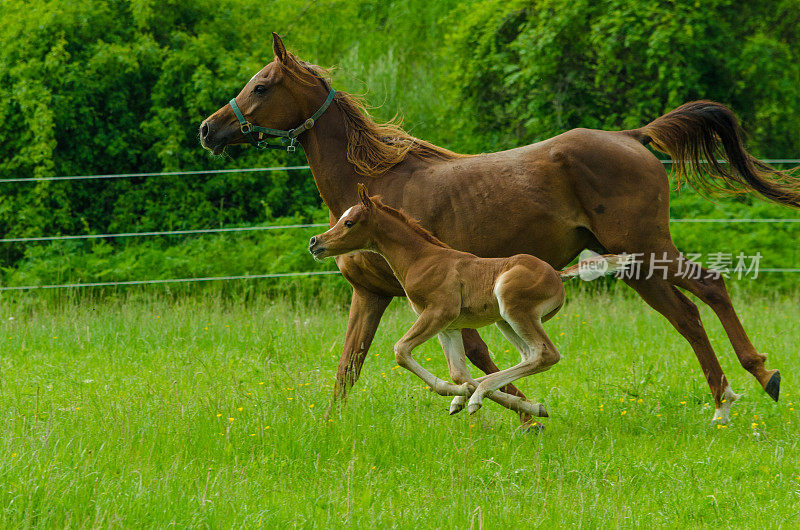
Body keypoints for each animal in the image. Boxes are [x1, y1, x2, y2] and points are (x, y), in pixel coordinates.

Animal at [310, 184, 628, 418]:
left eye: (349, 222)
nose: (315, 242)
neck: (421, 259)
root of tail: (557, 274)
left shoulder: (438, 312)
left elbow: (402, 351)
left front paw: (467, 398)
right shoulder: (448, 325)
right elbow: (459, 373)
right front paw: (468, 399)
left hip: (513, 306)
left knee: (545, 353)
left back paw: (479, 398)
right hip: (506, 321)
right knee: (531, 356)